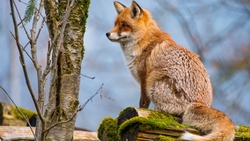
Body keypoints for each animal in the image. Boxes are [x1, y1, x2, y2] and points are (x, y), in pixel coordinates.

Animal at [106, 0, 235, 140]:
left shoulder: (144, 79)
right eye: (115, 24)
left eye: (124, 25)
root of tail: (200, 103)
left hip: (154, 81)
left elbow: (143, 104)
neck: (143, 42)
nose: (107, 34)